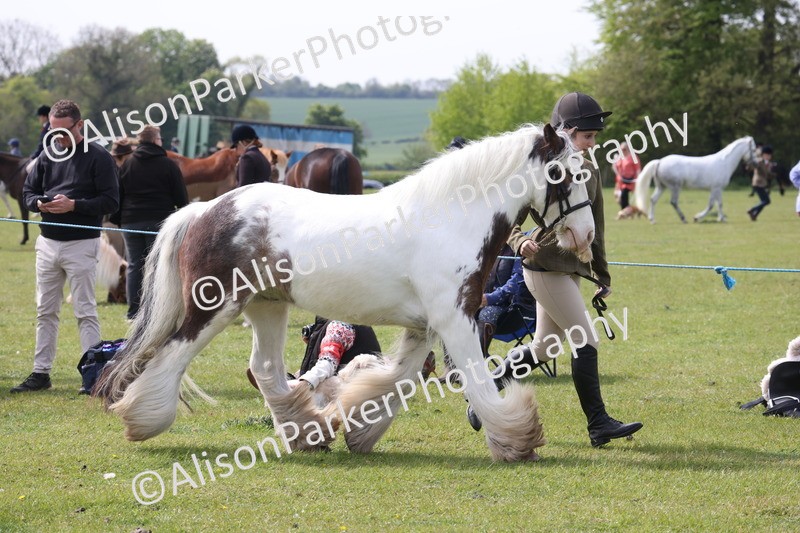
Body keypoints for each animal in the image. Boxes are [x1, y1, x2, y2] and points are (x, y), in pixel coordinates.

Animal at [93, 123, 596, 463]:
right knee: (170, 357)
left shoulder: (426, 326)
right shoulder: (456, 319)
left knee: (265, 369)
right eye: (563, 174)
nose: (586, 235)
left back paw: (306, 434)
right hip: (214, 307)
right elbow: (475, 378)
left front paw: (360, 430)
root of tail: (204, 210)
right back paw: (142, 421)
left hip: (266, 306)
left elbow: (398, 379)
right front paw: (517, 441)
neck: (450, 218)